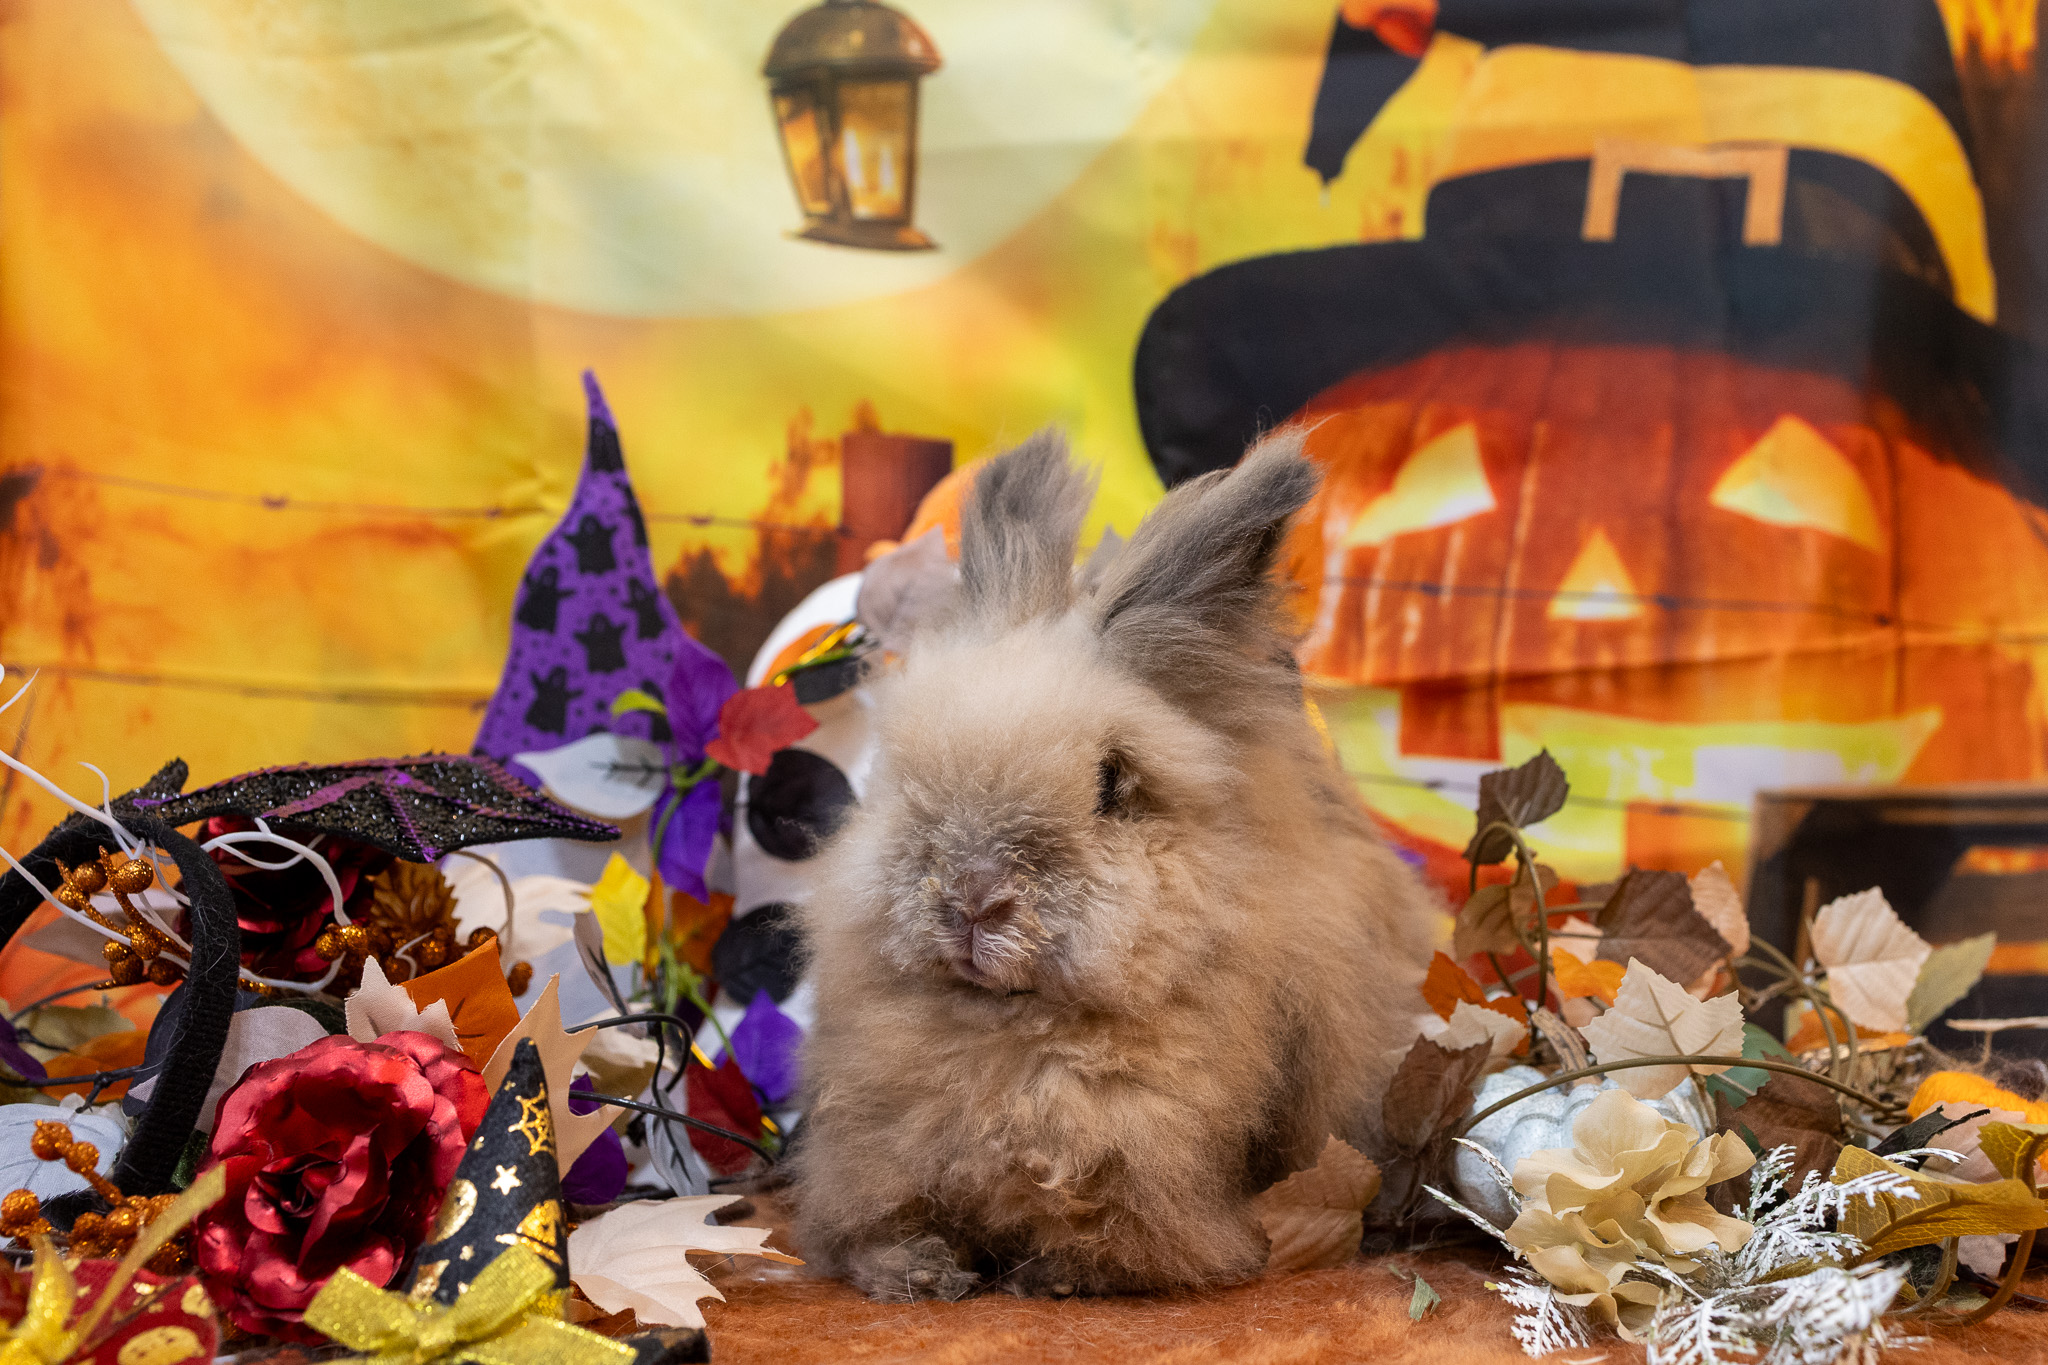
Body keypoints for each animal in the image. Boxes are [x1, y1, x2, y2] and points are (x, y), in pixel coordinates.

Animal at [788, 428, 1439, 1301]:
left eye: (1112, 783)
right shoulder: (871, 1145)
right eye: (898, 775)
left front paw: (1048, 1277)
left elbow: (1103, 1245)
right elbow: (876, 1229)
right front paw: (918, 1271)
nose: (972, 898)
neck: (1011, 1037)